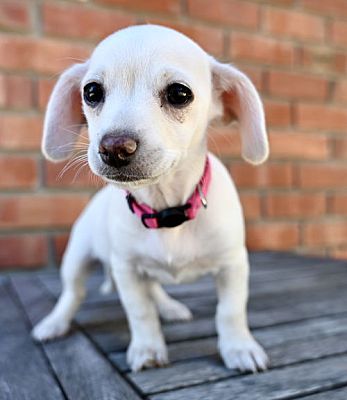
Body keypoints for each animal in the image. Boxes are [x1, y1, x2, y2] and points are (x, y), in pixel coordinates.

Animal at [32, 25, 270, 372]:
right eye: (91, 92)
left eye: (179, 94)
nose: (114, 148)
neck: (166, 209)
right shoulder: (127, 270)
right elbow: (140, 313)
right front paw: (147, 347)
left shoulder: (233, 265)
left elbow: (230, 312)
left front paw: (239, 348)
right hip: (76, 258)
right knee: (72, 294)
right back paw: (54, 323)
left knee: (155, 287)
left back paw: (169, 307)